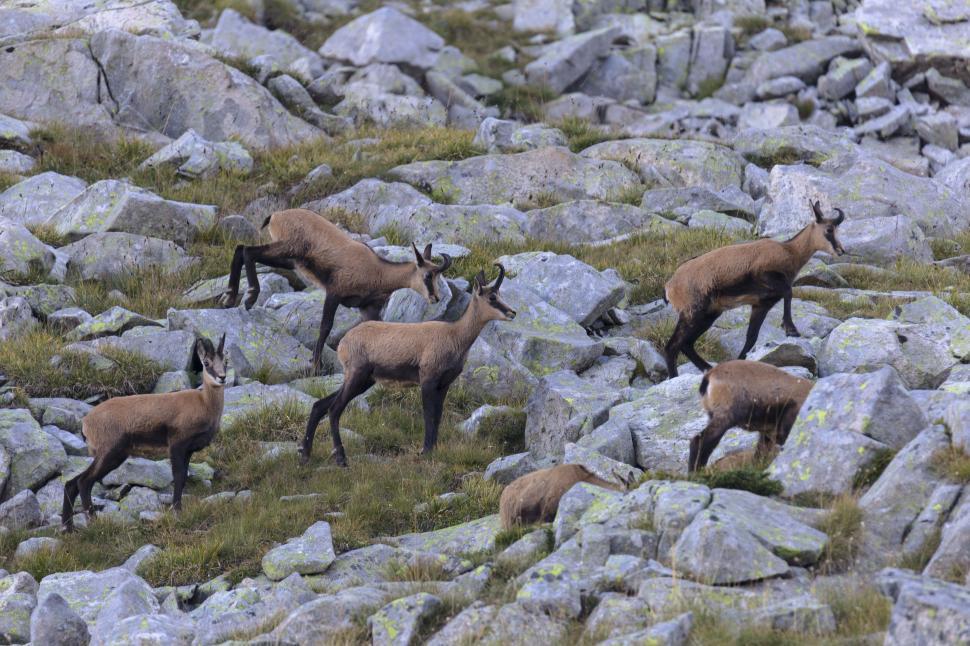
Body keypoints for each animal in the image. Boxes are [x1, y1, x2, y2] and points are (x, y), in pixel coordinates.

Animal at [61, 335, 227, 531]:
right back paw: (94, 522)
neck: (204, 403)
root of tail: (86, 422)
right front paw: (177, 512)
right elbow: (179, 477)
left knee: (71, 483)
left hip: (113, 455)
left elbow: (184, 477)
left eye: (226, 360)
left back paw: (68, 528)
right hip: (109, 452)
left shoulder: (188, 451)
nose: (222, 377)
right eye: (206, 362)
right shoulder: (177, 444)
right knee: (84, 481)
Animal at [220, 208, 453, 373]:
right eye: (428, 276)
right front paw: (315, 366)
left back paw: (230, 297)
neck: (377, 271)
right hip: (286, 248)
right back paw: (250, 296)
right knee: (249, 251)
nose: (436, 297)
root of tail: (277, 215)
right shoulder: (335, 293)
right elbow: (325, 327)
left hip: (289, 259)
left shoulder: (368, 309)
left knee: (240, 249)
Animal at [299, 264, 517, 466]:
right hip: (357, 376)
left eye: (499, 294)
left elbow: (437, 416)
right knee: (334, 409)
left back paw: (305, 454)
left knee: (319, 405)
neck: (453, 335)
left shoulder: (444, 385)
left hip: (363, 381)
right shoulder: (428, 380)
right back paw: (341, 458)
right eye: (492, 297)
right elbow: (428, 415)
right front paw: (426, 451)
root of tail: (344, 342)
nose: (513, 312)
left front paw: (433, 448)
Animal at [663, 201, 844, 378]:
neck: (789, 250)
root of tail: (670, 285)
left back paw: (704, 369)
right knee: (673, 345)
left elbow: (751, 337)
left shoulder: (761, 305)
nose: (841, 251)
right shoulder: (763, 275)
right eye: (829, 229)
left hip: (709, 315)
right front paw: (791, 329)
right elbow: (789, 291)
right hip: (693, 313)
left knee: (685, 344)